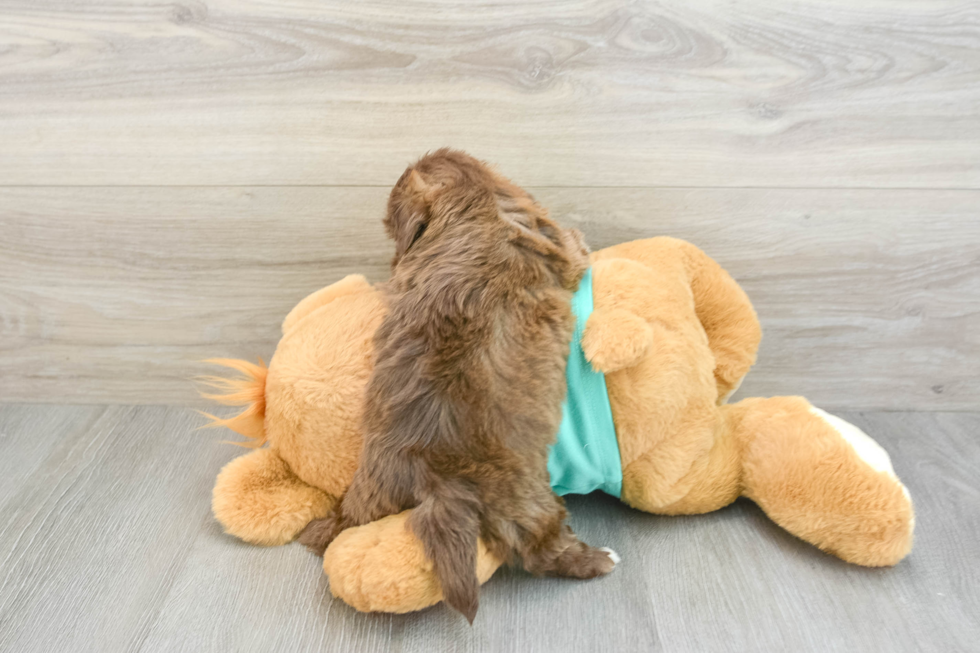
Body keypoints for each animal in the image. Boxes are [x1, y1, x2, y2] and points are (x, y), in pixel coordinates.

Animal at [300, 149, 620, 620]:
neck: (471, 201)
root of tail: (433, 478)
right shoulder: (560, 248)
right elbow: (576, 247)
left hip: (371, 490)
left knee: (345, 523)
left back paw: (321, 529)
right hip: (527, 503)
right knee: (542, 551)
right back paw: (599, 559)